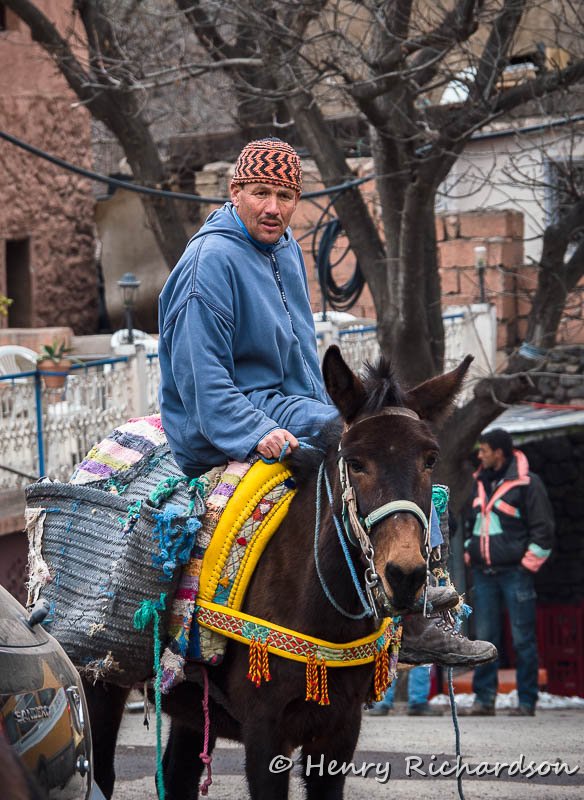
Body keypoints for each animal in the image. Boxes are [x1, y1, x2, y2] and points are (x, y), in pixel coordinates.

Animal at [85, 346, 472, 800]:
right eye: (356, 462)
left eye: (430, 458)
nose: (405, 575)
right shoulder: (265, 732)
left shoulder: (340, 730)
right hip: (99, 681)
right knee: (102, 773)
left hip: (192, 709)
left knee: (178, 775)